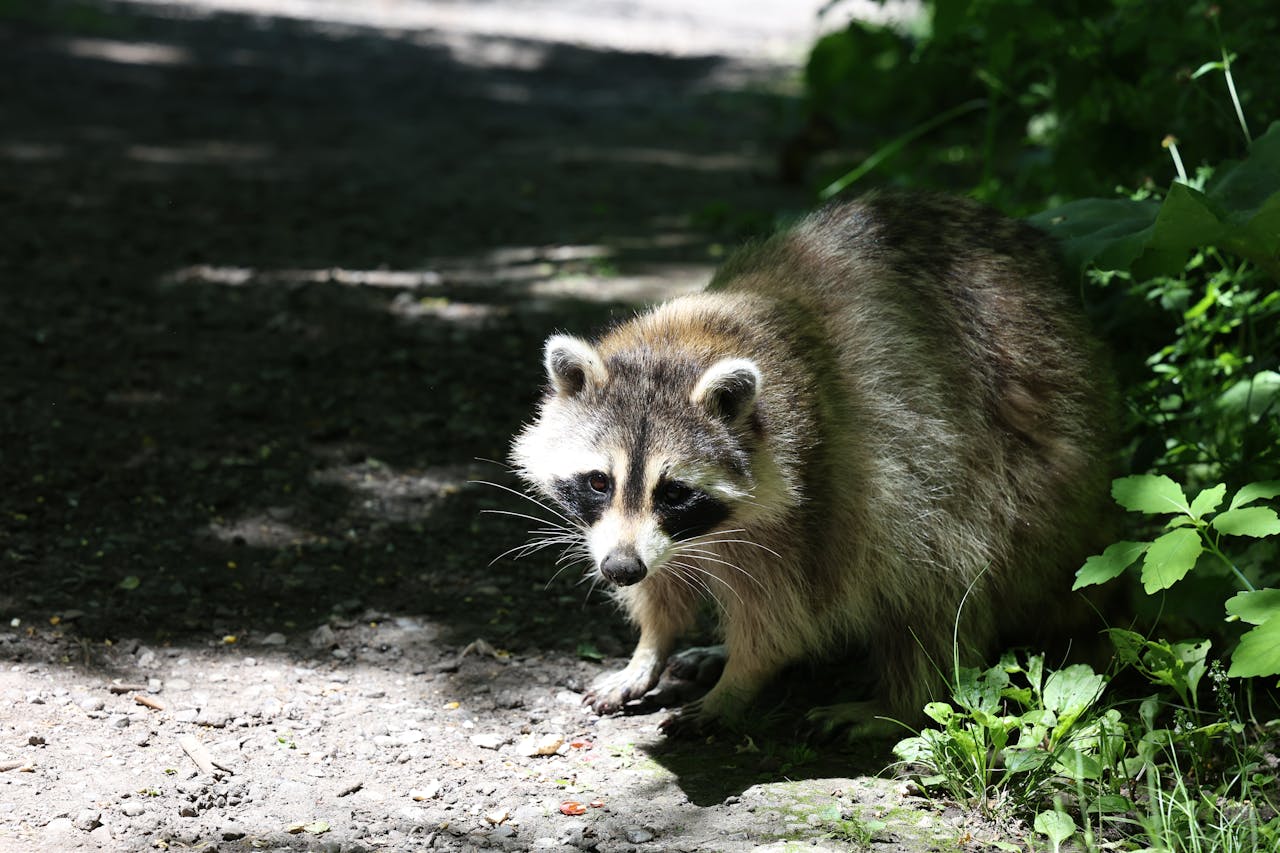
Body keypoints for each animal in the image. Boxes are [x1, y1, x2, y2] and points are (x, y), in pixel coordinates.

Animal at [510, 192, 1113, 729]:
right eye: (598, 482)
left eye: (675, 491)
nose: (620, 568)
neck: (687, 340)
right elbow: (663, 584)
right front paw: (650, 647)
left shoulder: (830, 485)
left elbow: (791, 610)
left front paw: (741, 680)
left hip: (1022, 483)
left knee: (940, 563)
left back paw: (901, 700)